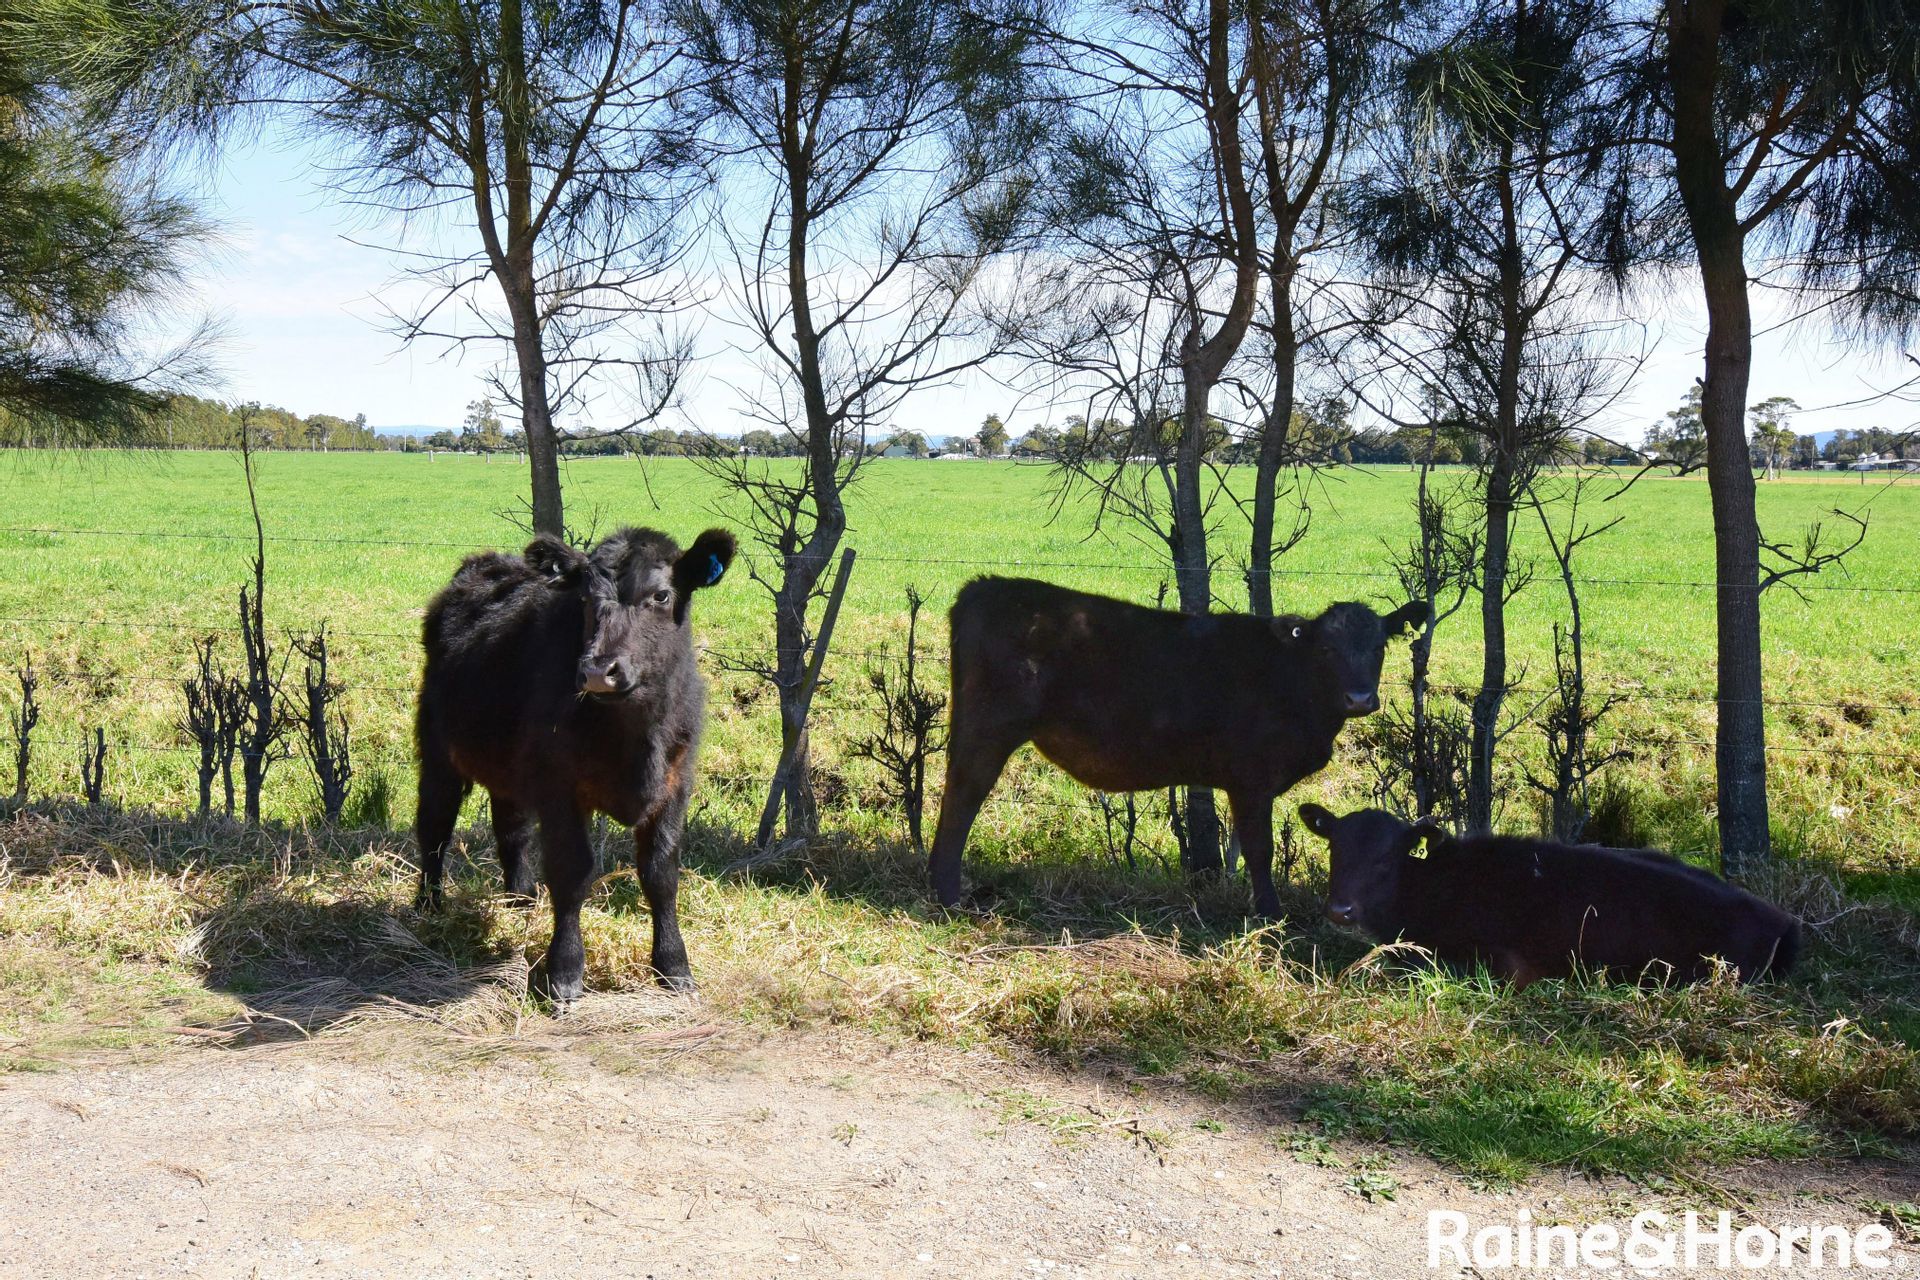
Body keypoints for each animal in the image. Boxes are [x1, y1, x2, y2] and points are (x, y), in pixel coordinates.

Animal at [413, 526, 736, 1003]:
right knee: (434, 828)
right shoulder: (559, 788)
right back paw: (429, 906)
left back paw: (521, 899)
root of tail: (486, 563)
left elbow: (661, 875)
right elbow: (572, 872)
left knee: (511, 828)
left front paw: (674, 967)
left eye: (661, 595)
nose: (600, 671)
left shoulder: (675, 786)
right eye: (584, 598)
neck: (635, 738)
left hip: (509, 767)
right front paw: (564, 973)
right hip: (438, 752)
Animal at [927, 577, 1430, 915]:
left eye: (1381, 647)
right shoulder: (1251, 779)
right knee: (963, 799)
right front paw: (1270, 915)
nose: (1360, 698)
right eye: (1326, 649)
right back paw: (950, 895)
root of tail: (986, 587)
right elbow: (1260, 849)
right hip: (989, 729)